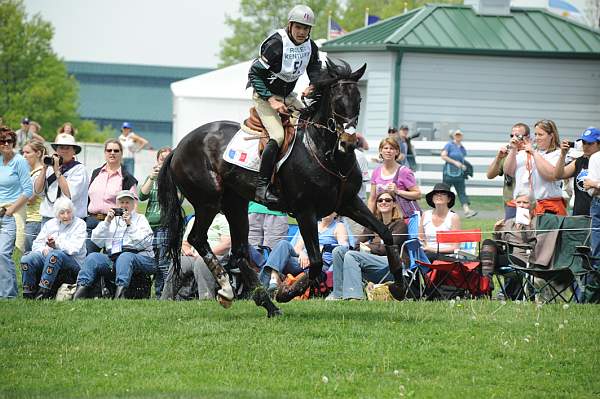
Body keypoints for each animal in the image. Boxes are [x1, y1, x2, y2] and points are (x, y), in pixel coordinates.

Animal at [158, 57, 404, 318]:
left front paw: (398, 287)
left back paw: (266, 303)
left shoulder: (348, 203)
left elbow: (386, 233)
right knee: (198, 238)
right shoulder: (306, 211)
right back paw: (227, 290)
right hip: (208, 202)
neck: (324, 152)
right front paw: (287, 292)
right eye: (337, 101)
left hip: (235, 204)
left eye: (358, 100)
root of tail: (179, 147)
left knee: (239, 253)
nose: (348, 143)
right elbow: (316, 261)